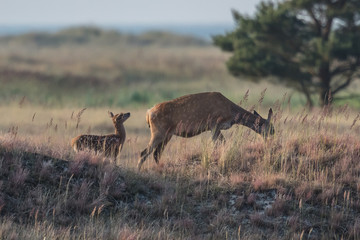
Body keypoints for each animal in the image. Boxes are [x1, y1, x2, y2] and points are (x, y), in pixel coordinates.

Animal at [137, 92, 272, 171]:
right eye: (269, 127)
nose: (273, 133)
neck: (232, 114)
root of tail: (148, 113)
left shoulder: (214, 127)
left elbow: (220, 143)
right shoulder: (214, 124)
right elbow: (220, 143)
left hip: (167, 135)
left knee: (156, 153)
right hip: (158, 132)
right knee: (144, 153)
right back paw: (138, 170)